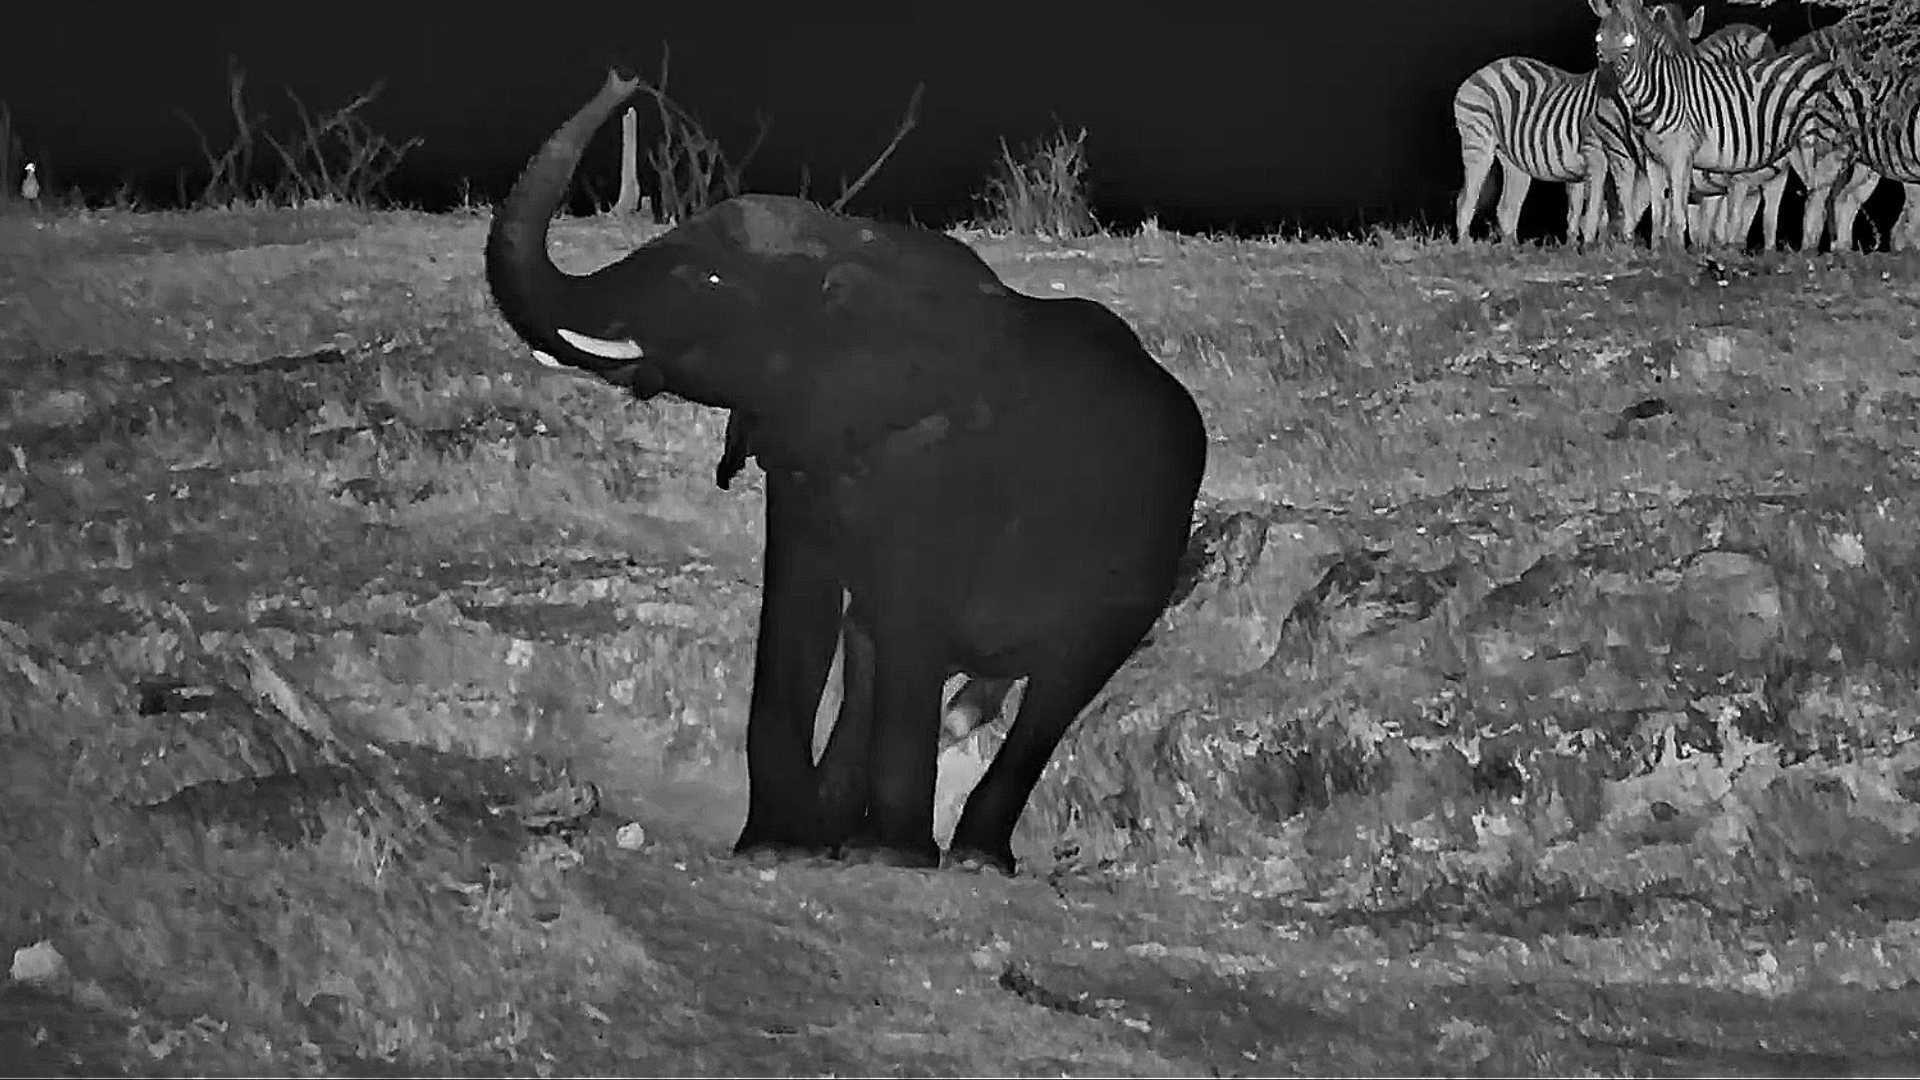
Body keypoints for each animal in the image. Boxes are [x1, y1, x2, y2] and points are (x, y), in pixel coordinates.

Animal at [485, 69, 1207, 875]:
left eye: (710, 279)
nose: (625, 81)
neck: (847, 249)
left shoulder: (938, 463)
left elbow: (910, 624)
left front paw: (891, 857)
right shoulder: (806, 450)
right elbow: (800, 607)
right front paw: (778, 847)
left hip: (1139, 569)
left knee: (1053, 689)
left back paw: (968, 857)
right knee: (872, 648)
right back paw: (847, 835)